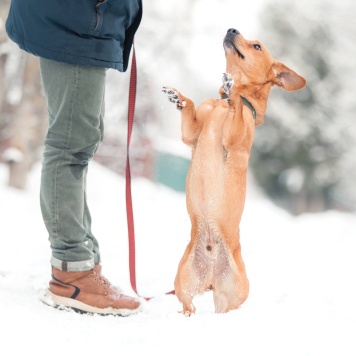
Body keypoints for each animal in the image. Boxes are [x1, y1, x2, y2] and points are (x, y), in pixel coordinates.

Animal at [163, 28, 304, 318]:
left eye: (257, 46)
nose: (232, 30)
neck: (220, 107)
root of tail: (211, 277)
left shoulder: (235, 136)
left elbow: (238, 104)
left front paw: (233, 89)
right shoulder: (191, 134)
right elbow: (191, 107)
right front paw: (178, 97)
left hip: (232, 294)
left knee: (224, 310)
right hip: (183, 279)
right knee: (188, 304)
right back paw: (186, 315)